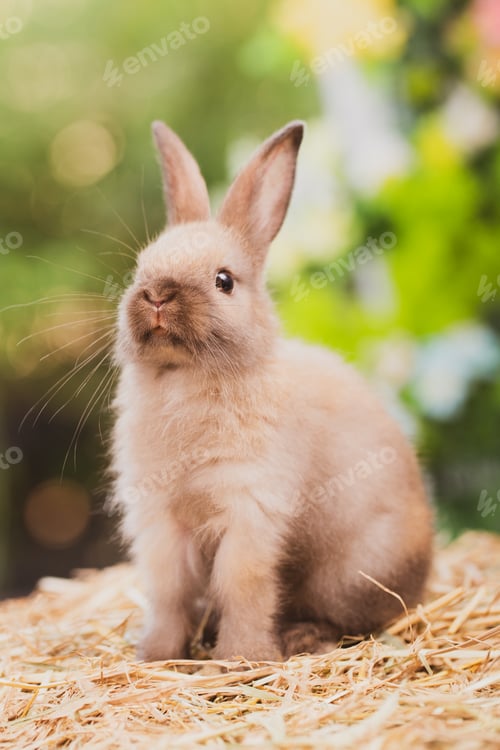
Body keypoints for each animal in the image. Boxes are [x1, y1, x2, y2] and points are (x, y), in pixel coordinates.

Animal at [110, 120, 433, 662]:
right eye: (140, 267)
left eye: (224, 280)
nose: (156, 294)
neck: (185, 378)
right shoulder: (161, 522)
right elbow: (170, 591)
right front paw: (157, 655)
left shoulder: (251, 513)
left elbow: (243, 588)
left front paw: (239, 660)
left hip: (352, 577)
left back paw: (303, 637)